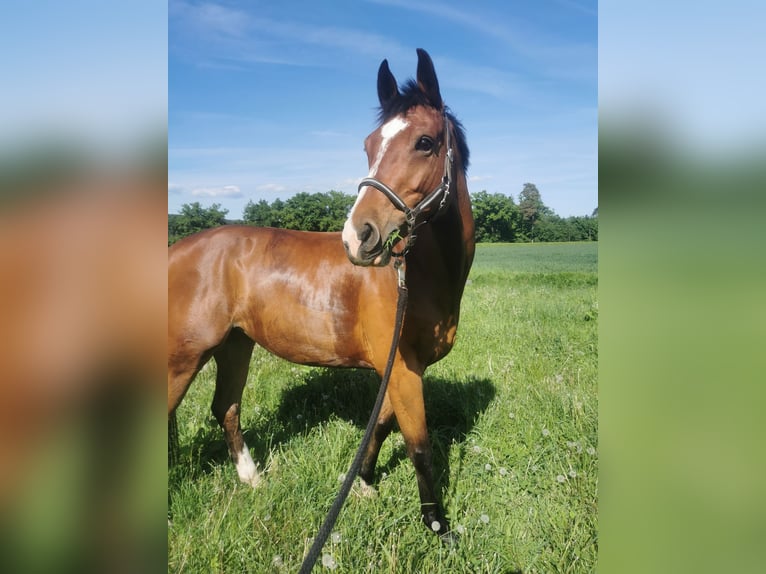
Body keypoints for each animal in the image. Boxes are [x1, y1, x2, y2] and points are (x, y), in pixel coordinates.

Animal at [168, 48, 474, 539]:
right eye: (368, 145)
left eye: (425, 142)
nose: (358, 236)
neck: (419, 275)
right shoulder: (404, 370)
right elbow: (419, 445)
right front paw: (437, 525)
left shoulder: (401, 370)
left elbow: (379, 428)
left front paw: (364, 483)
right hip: (184, 356)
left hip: (235, 345)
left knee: (226, 408)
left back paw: (252, 478)